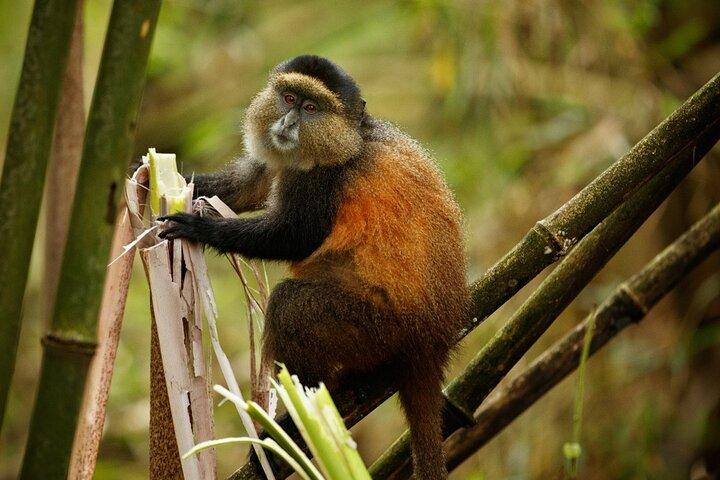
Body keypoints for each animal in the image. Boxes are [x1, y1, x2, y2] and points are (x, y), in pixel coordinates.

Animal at [159, 55, 468, 480]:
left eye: (311, 108)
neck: (353, 139)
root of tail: (432, 344)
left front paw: (201, 228)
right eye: (289, 98)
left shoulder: (323, 180)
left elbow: (295, 237)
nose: (288, 124)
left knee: (292, 307)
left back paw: (294, 426)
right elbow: (250, 184)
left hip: (378, 329)